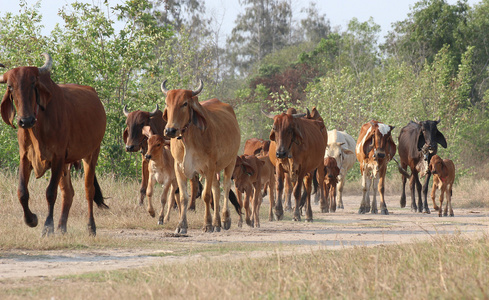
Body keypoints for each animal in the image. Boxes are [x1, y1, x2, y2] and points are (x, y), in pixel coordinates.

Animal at [0, 54, 107, 237]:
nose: (25, 121)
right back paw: (62, 227)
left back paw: (90, 227)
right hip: (66, 165)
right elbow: (22, 192)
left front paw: (47, 227)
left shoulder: (57, 157)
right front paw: (31, 220)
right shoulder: (25, 157)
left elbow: (50, 192)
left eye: (33, 83)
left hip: (91, 153)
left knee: (89, 190)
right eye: (10, 86)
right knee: (68, 193)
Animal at [161, 79, 239, 234]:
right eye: (167, 103)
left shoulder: (209, 167)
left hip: (230, 162)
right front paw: (181, 225)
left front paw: (207, 225)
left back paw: (224, 220)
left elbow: (206, 196)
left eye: (185, 103)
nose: (170, 130)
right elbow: (184, 197)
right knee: (216, 189)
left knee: (226, 187)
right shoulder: (179, 167)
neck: (188, 140)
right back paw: (217, 223)